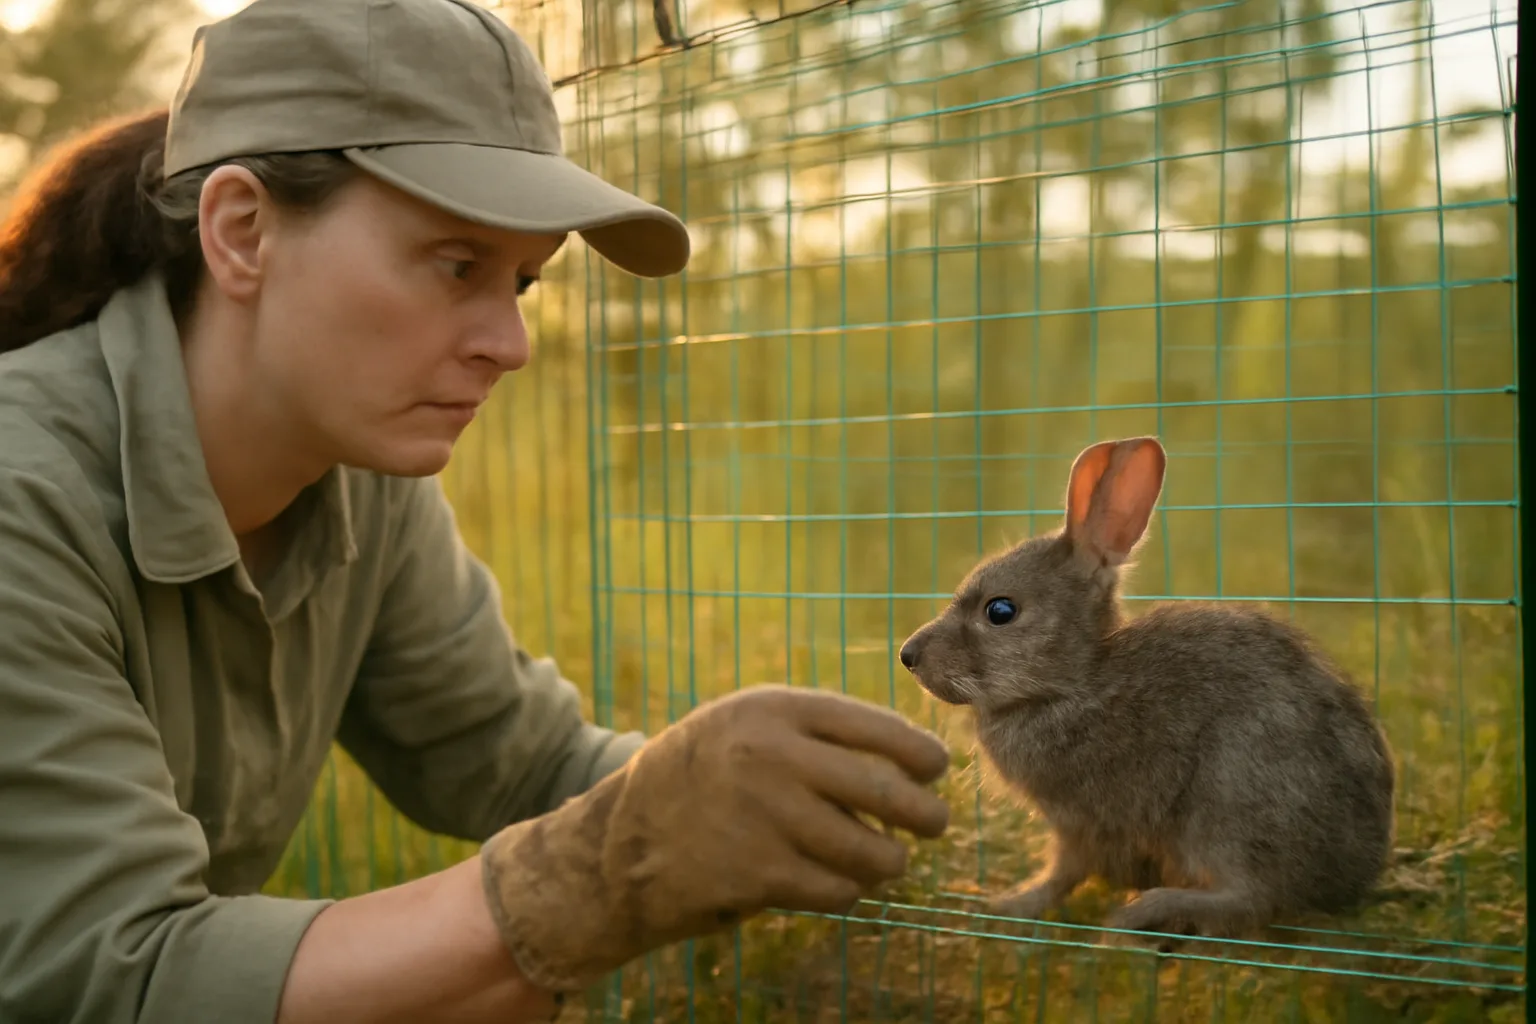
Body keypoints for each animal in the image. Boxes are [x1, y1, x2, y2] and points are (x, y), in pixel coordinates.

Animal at [897, 435, 1396, 942]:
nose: (909, 655)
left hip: (1227, 807)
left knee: (1252, 898)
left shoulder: (1083, 822)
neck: (1072, 684)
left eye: (1000, 610)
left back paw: (1140, 912)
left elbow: (1063, 872)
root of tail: (1351, 874)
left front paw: (1011, 904)